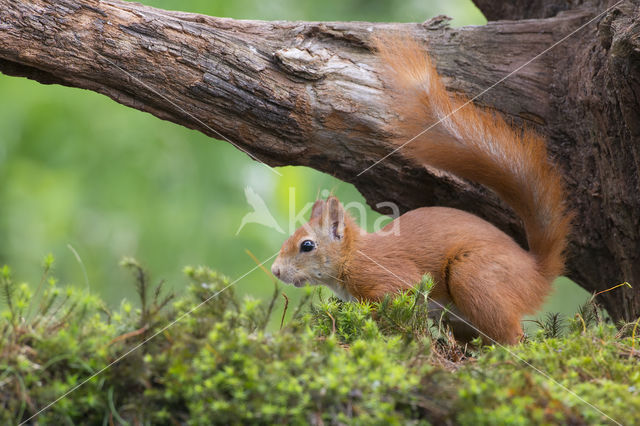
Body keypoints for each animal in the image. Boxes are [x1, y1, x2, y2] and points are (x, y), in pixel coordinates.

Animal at [270, 35, 568, 344]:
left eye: (307, 245)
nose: (275, 271)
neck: (353, 257)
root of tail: (536, 273)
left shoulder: (389, 280)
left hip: (476, 277)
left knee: (512, 335)